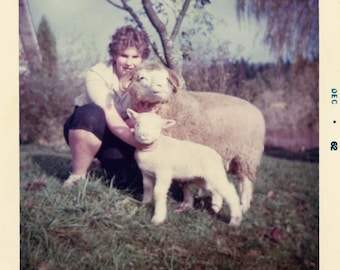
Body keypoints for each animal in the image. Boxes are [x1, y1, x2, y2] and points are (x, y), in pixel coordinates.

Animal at [120, 61, 266, 213]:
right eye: (142, 78)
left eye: (166, 79)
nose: (159, 86)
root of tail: (256, 110)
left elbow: (185, 181)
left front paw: (187, 203)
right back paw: (216, 205)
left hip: (247, 155)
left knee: (246, 182)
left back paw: (243, 206)